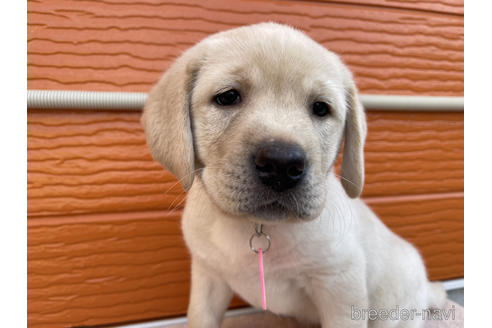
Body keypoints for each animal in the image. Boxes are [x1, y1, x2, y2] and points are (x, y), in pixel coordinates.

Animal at [139, 21, 446, 326]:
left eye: (320, 108)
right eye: (227, 97)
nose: (282, 165)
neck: (258, 227)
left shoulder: (340, 287)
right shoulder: (208, 277)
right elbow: (200, 316)